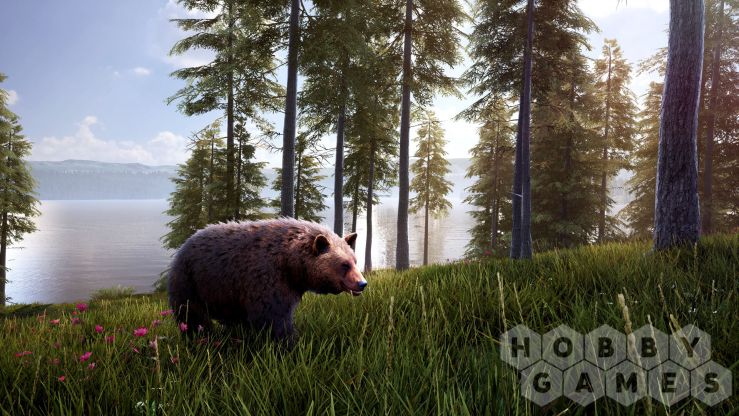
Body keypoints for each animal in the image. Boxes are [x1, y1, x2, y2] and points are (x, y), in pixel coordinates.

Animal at [167, 218, 366, 343]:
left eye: (355, 261)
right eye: (344, 264)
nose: (362, 284)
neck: (290, 264)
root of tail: (185, 244)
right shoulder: (266, 278)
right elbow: (273, 317)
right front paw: (290, 343)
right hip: (190, 280)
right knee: (191, 314)